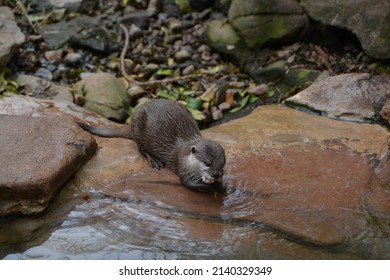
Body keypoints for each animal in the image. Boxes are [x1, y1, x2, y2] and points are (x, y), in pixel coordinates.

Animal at [77, 98, 225, 190]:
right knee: (141, 148)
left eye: (222, 164)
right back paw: (154, 160)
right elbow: (187, 183)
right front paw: (214, 186)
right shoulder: (182, 164)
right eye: (207, 163)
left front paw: (220, 183)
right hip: (138, 123)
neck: (187, 153)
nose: (216, 175)